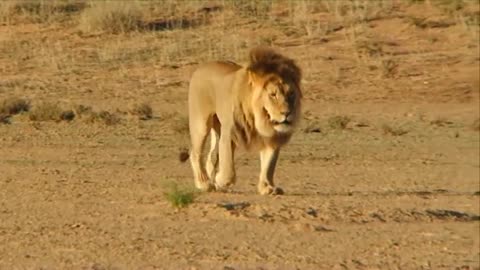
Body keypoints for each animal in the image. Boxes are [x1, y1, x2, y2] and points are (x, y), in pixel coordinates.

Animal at [182, 46, 302, 194]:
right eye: (273, 94)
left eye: (291, 94)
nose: (287, 113)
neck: (260, 119)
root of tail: (201, 67)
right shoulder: (229, 133)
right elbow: (228, 167)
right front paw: (220, 180)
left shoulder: (272, 137)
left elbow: (269, 164)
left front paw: (266, 187)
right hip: (201, 124)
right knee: (195, 153)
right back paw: (204, 183)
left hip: (217, 126)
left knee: (212, 156)